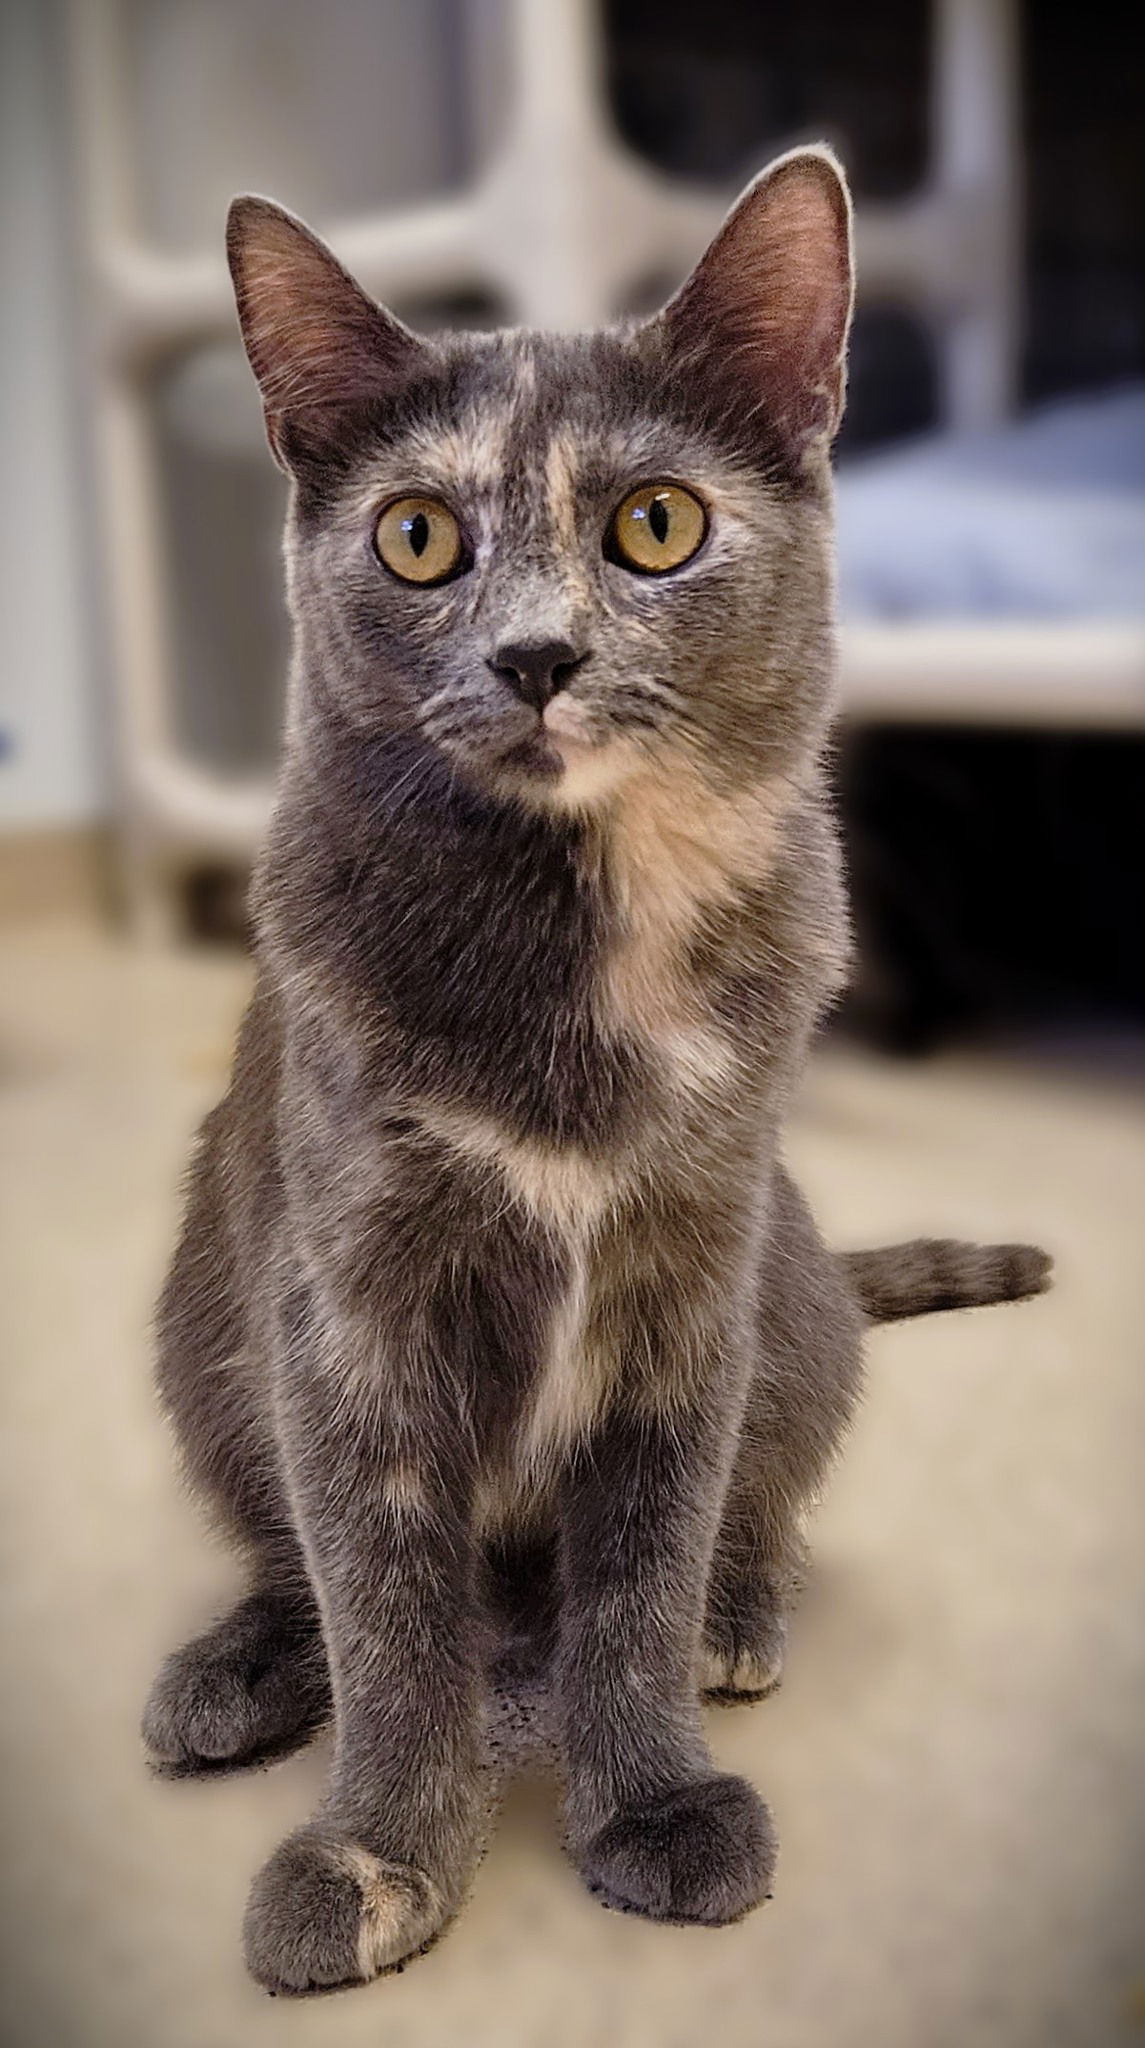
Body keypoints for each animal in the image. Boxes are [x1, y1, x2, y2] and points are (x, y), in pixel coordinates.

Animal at [141, 148, 1048, 1998]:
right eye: (419, 537)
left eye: (655, 524)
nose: (536, 655)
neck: (580, 939)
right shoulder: (349, 1295)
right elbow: (383, 1596)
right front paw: (379, 1851)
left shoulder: (692, 1269)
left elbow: (642, 1558)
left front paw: (651, 1797)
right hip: (201, 1320)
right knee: (283, 1534)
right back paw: (244, 1667)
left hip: (795, 1295)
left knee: (764, 1489)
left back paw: (740, 1617)